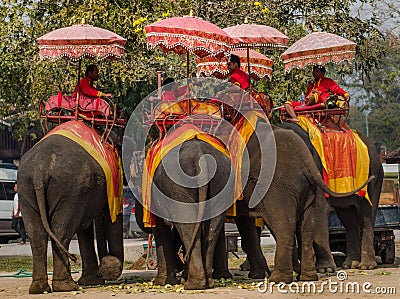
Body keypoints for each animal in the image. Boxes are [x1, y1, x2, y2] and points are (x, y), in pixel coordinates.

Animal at [18, 120, 123, 294]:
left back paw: (40, 288)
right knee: (62, 230)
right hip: (69, 188)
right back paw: (66, 286)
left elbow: (87, 226)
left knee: (36, 233)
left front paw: (92, 280)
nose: (106, 271)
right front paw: (96, 278)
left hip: (28, 187)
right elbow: (109, 216)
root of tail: (40, 168)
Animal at [280, 121, 382, 272]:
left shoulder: (317, 169)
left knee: (366, 214)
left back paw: (366, 266)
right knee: (348, 218)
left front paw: (324, 269)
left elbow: (319, 209)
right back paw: (351, 264)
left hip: (373, 174)